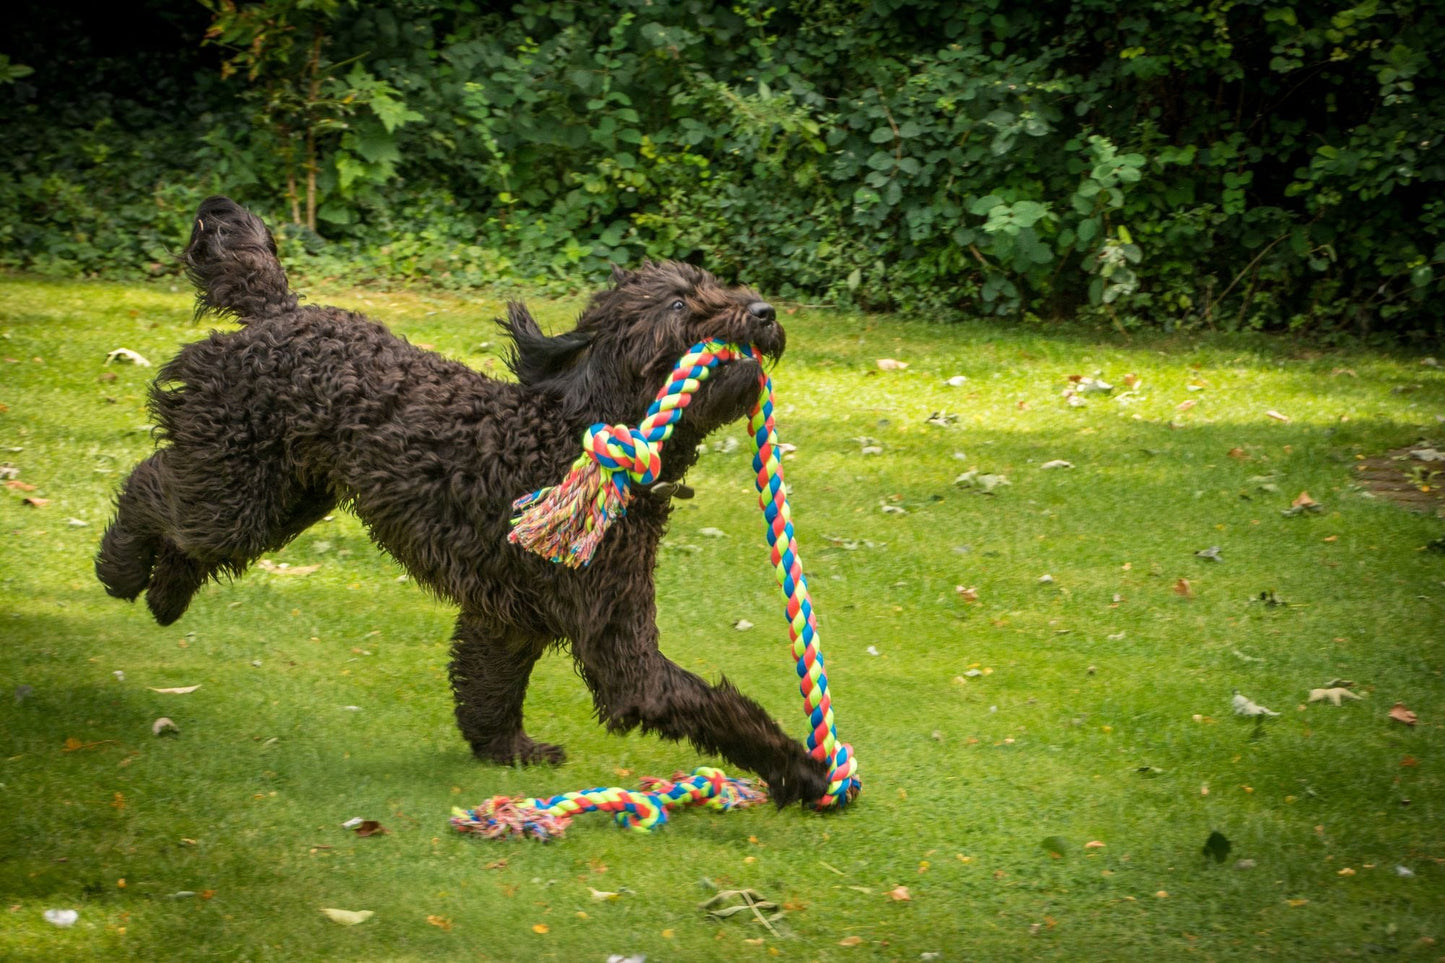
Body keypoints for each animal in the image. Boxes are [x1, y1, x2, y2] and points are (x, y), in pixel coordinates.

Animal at [96, 195, 832, 803]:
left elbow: (488, 693)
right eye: (680, 306)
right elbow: (714, 706)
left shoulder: (507, 617)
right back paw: (122, 569)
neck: (572, 432)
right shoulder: (622, 652)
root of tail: (279, 311)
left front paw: (507, 751)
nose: (764, 312)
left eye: (715, 287)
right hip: (237, 491)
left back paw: (165, 594)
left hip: (280, 496)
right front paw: (804, 770)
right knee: (149, 491)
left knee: (181, 522)